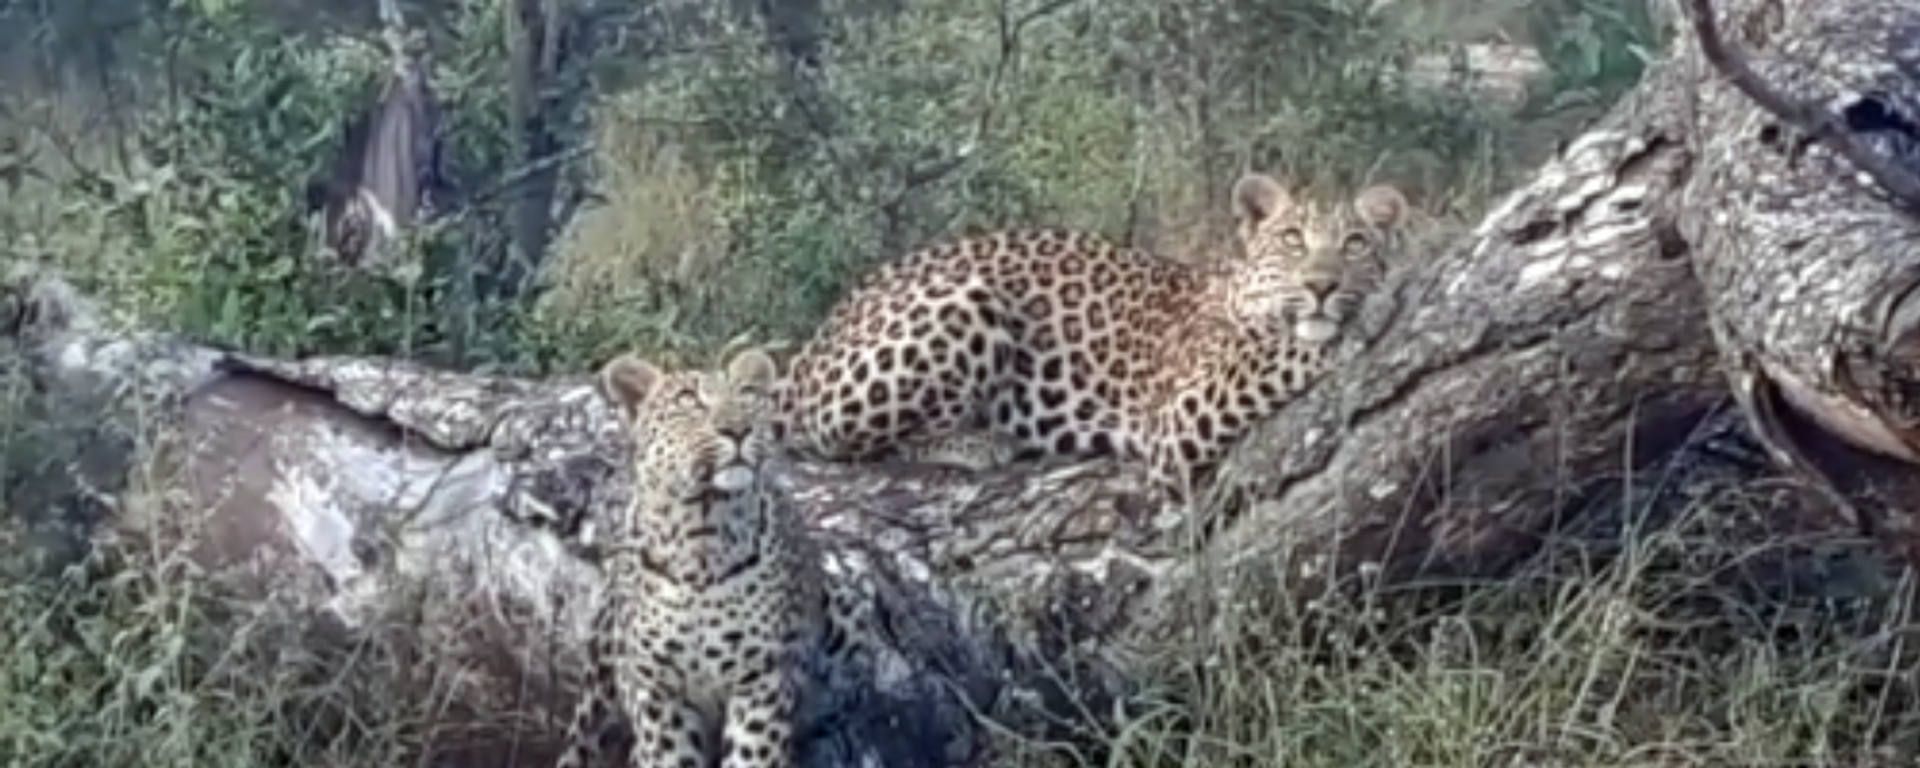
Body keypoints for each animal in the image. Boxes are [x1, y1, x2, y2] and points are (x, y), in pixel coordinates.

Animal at [556, 345, 871, 768]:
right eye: (688, 400)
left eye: (748, 395)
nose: (738, 429)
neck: (701, 534)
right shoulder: (660, 693)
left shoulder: (760, 681)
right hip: (603, 664)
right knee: (584, 739)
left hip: (846, 607)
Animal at [769, 171, 1412, 503]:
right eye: (1292, 241)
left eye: (1355, 244)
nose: (1323, 285)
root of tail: (812, 344)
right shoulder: (1177, 418)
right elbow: (1284, 352)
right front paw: (1370, 314)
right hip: (962, 299)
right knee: (840, 439)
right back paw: (979, 441)